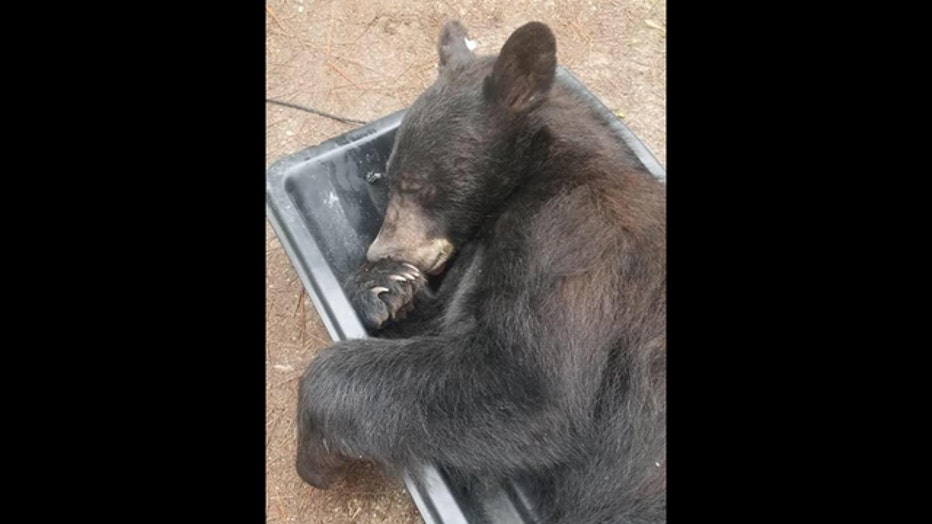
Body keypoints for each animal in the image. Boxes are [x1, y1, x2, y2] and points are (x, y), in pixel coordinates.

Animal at [294, 20, 668, 524]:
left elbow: (527, 388)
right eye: (387, 176)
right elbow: (446, 313)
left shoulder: (572, 237)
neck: (535, 170)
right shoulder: (481, 254)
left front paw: (315, 453)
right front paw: (386, 287)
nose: (380, 249)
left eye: (417, 184)